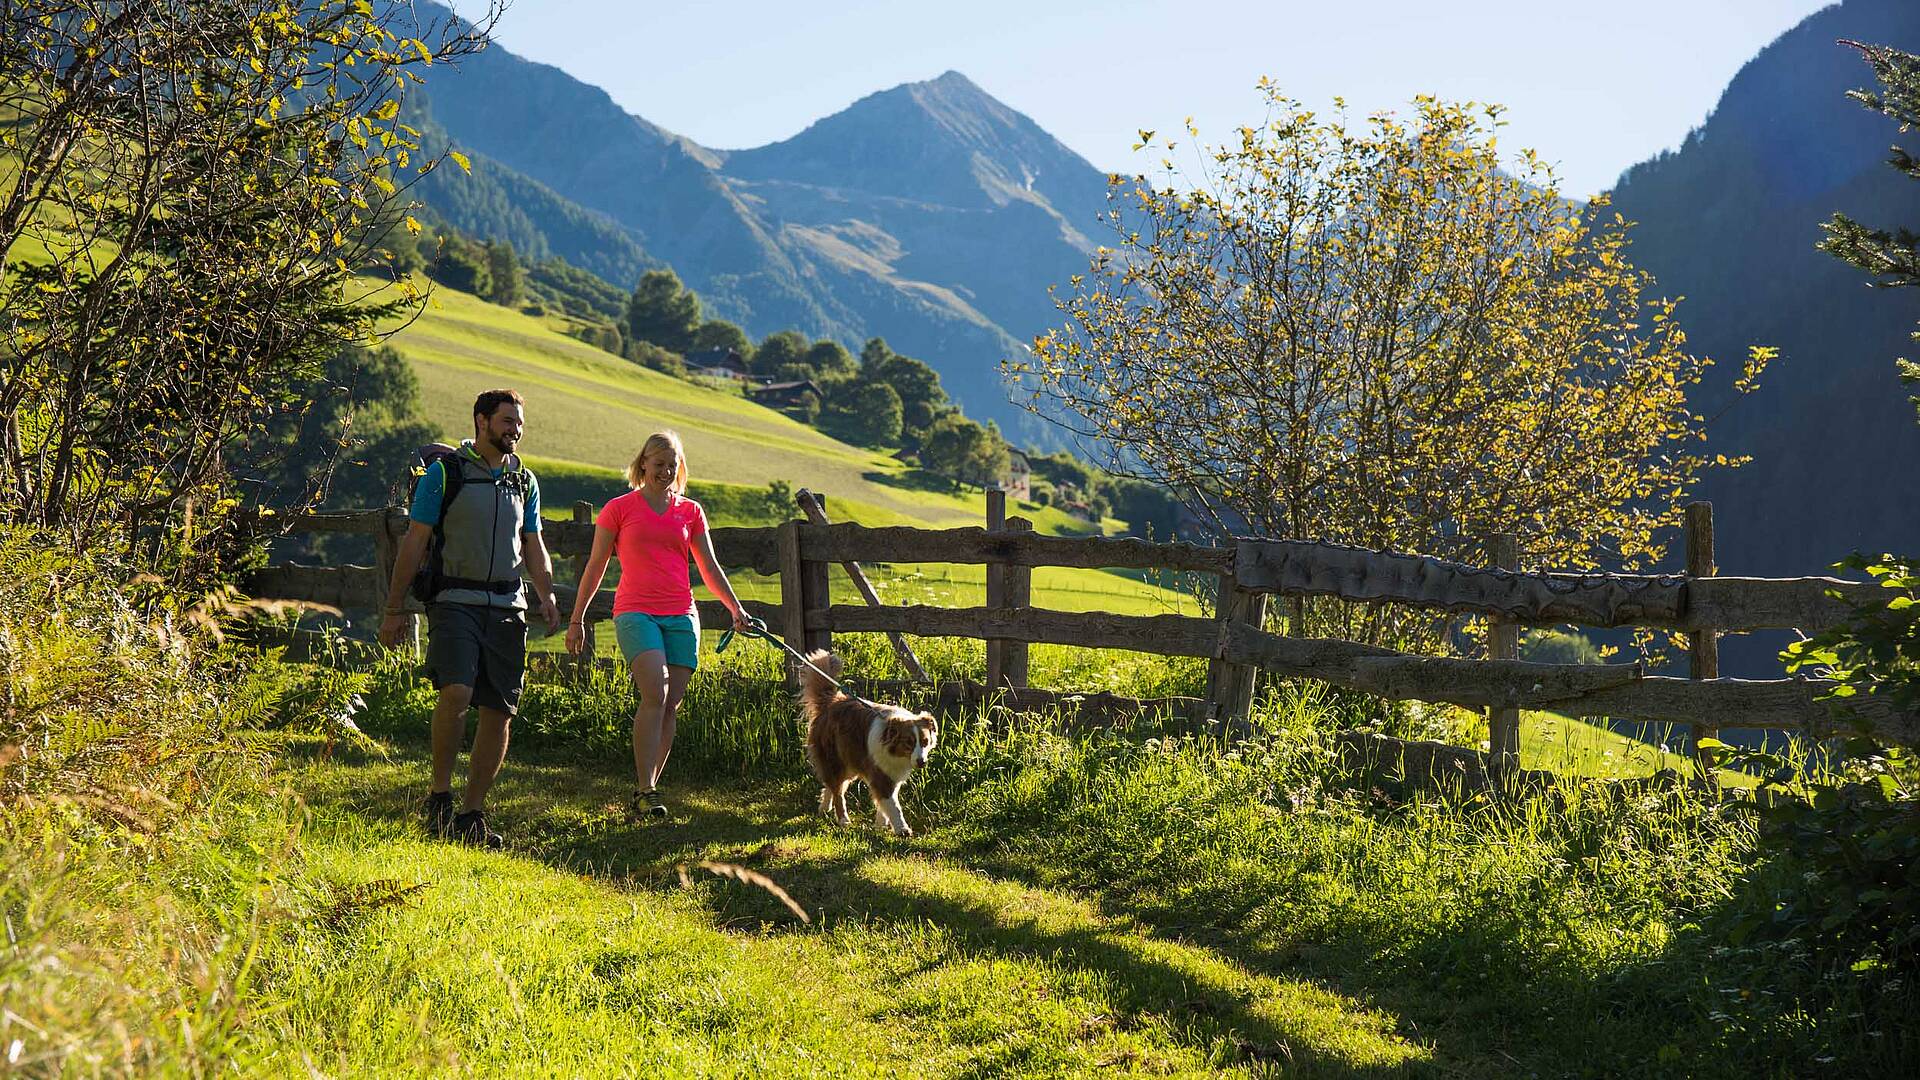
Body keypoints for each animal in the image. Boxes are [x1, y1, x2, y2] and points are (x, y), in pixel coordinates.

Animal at [802, 645, 936, 834]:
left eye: (925, 742)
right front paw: (902, 828)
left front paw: (881, 824)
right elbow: (893, 805)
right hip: (837, 758)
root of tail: (830, 701)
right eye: (908, 743)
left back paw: (824, 807)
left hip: (850, 760)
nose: (921, 762)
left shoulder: (891, 774)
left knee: (832, 785)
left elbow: (885, 804)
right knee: (837, 790)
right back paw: (843, 819)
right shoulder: (880, 774)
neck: (894, 751)